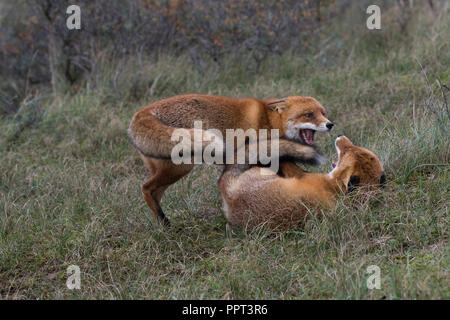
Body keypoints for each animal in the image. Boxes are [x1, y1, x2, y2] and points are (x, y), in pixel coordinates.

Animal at [128, 94, 332, 226]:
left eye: (323, 112)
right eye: (309, 114)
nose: (330, 124)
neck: (269, 121)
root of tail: (143, 111)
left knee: (153, 193)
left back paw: (164, 224)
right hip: (180, 167)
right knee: (146, 188)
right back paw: (165, 225)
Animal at [220, 135, 384, 230]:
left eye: (344, 153)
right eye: (354, 146)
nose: (339, 136)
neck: (335, 189)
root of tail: (231, 195)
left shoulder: (300, 175)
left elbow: (290, 165)